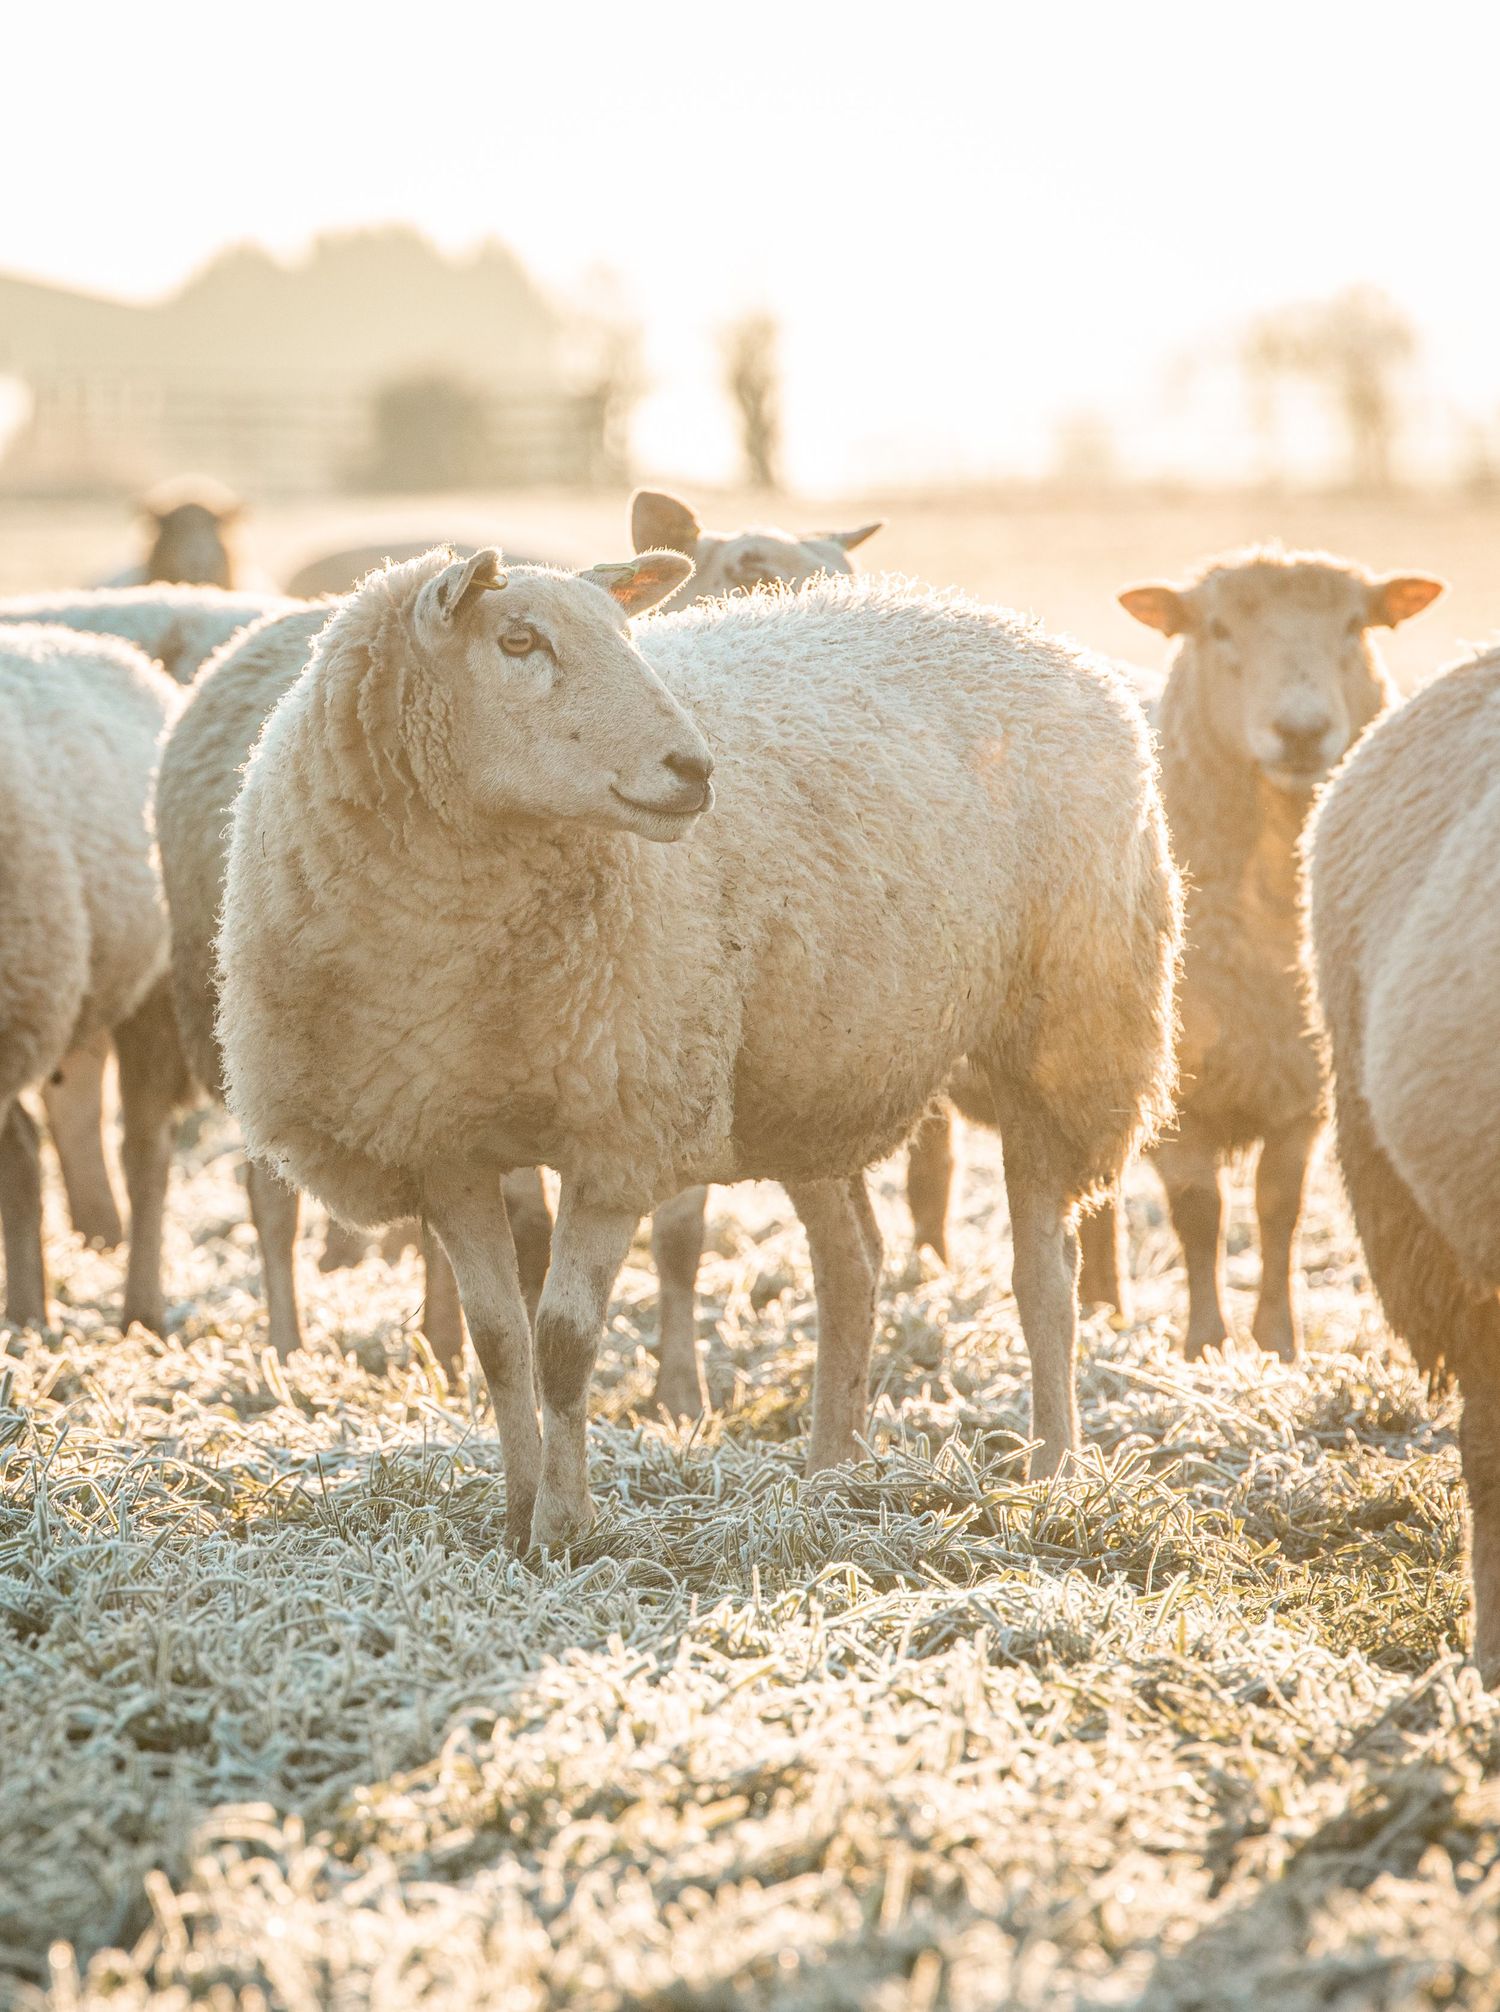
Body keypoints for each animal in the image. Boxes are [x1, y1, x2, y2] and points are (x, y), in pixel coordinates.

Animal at [215, 547, 1180, 1550]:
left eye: (624, 632)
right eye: (517, 641)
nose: (694, 766)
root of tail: (1047, 641)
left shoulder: (620, 1132)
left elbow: (564, 1346)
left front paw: (564, 1526)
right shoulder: (442, 1143)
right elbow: (499, 1342)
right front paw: (515, 1516)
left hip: (1067, 1031)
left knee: (1044, 1278)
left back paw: (1051, 1474)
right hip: (807, 1072)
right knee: (853, 1265)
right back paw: (831, 1472)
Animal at [1098, 548, 1443, 1361]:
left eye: (1354, 625)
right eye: (1217, 627)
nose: (1302, 730)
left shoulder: (1301, 1082)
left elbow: (1279, 1208)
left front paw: (1279, 1341)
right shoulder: (1179, 1088)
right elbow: (1200, 1213)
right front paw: (1205, 1343)